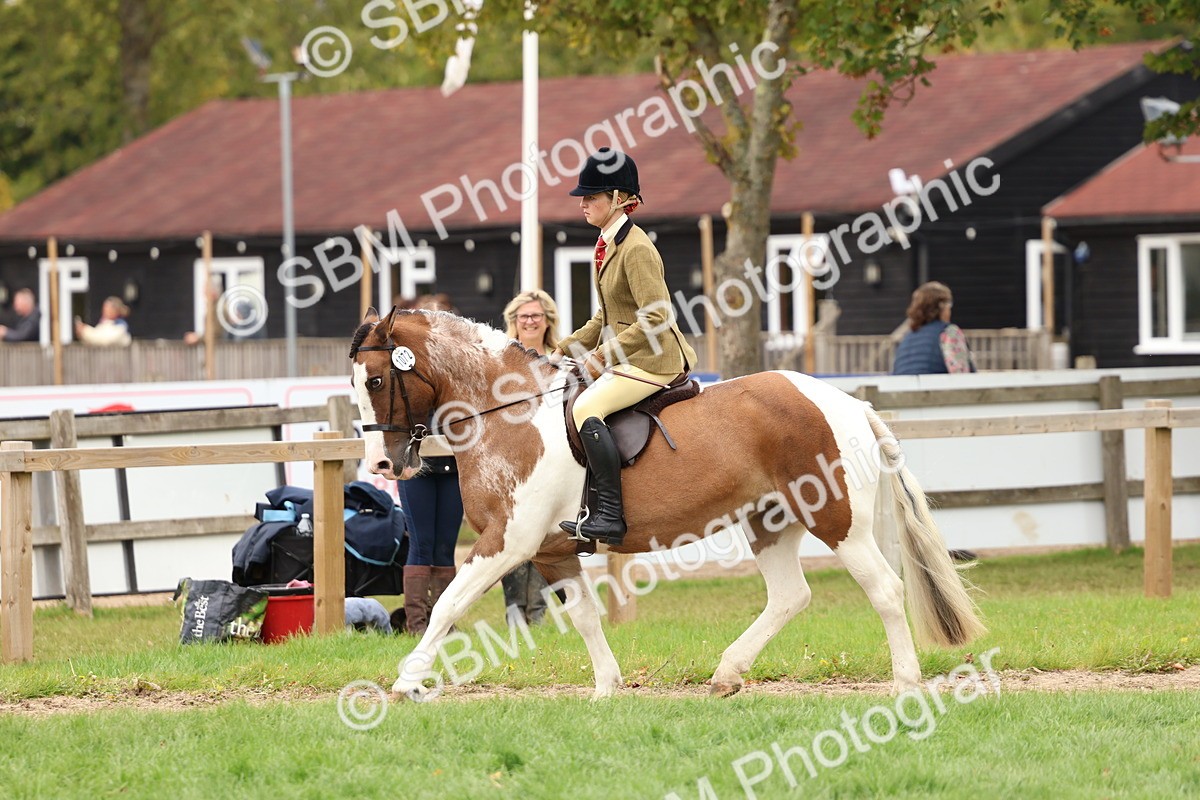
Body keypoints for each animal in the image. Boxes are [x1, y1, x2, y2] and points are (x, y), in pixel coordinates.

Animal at [349, 307, 985, 701]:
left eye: (377, 381)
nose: (383, 467)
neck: (511, 412)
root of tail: (850, 403)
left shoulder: (509, 541)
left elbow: (449, 603)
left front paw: (406, 682)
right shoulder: (552, 550)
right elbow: (584, 615)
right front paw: (606, 687)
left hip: (838, 522)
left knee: (885, 590)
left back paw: (905, 683)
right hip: (771, 520)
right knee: (790, 595)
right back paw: (727, 673)